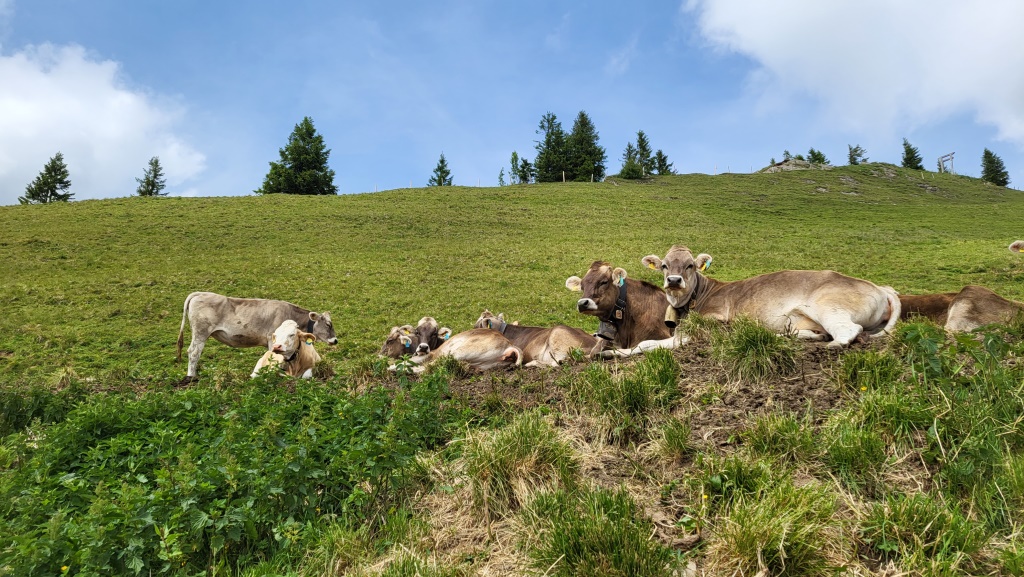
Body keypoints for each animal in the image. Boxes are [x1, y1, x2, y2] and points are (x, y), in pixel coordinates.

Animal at [176, 293, 335, 379]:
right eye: (328, 324)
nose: (335, 340)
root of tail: (199, 293)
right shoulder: (272, 341)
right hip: (200, 333)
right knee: (193, 353)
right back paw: (191, 377)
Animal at [643, 244, 901, 348]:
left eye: (690, 265)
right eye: (664, 265)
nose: (674, 281)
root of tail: (882, 287)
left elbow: (647, 343)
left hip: (829, 307)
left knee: (849, 330)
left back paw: (834, 344)